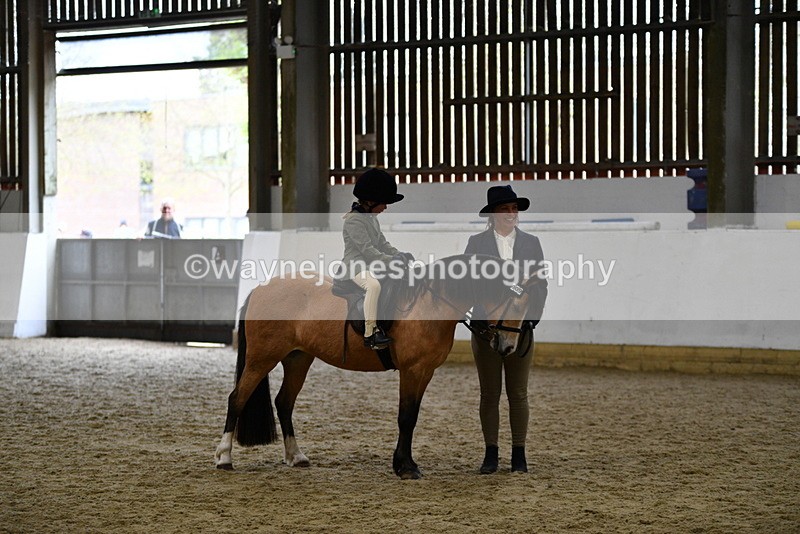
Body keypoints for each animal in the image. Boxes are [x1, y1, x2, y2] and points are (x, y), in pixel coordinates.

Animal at [214, 254, 542, 479]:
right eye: (515, 304)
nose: (508, 347)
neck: (430, 304)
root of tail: (260, 289)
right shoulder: (412, 370)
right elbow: (406, 418)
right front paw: (405, 468)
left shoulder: (425, 372)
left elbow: (413, 417)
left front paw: (406, 463)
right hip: (261, 359)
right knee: (237, 398)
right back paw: (224, 458)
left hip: (298, 359)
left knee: (283, 402)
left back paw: (296, 456)